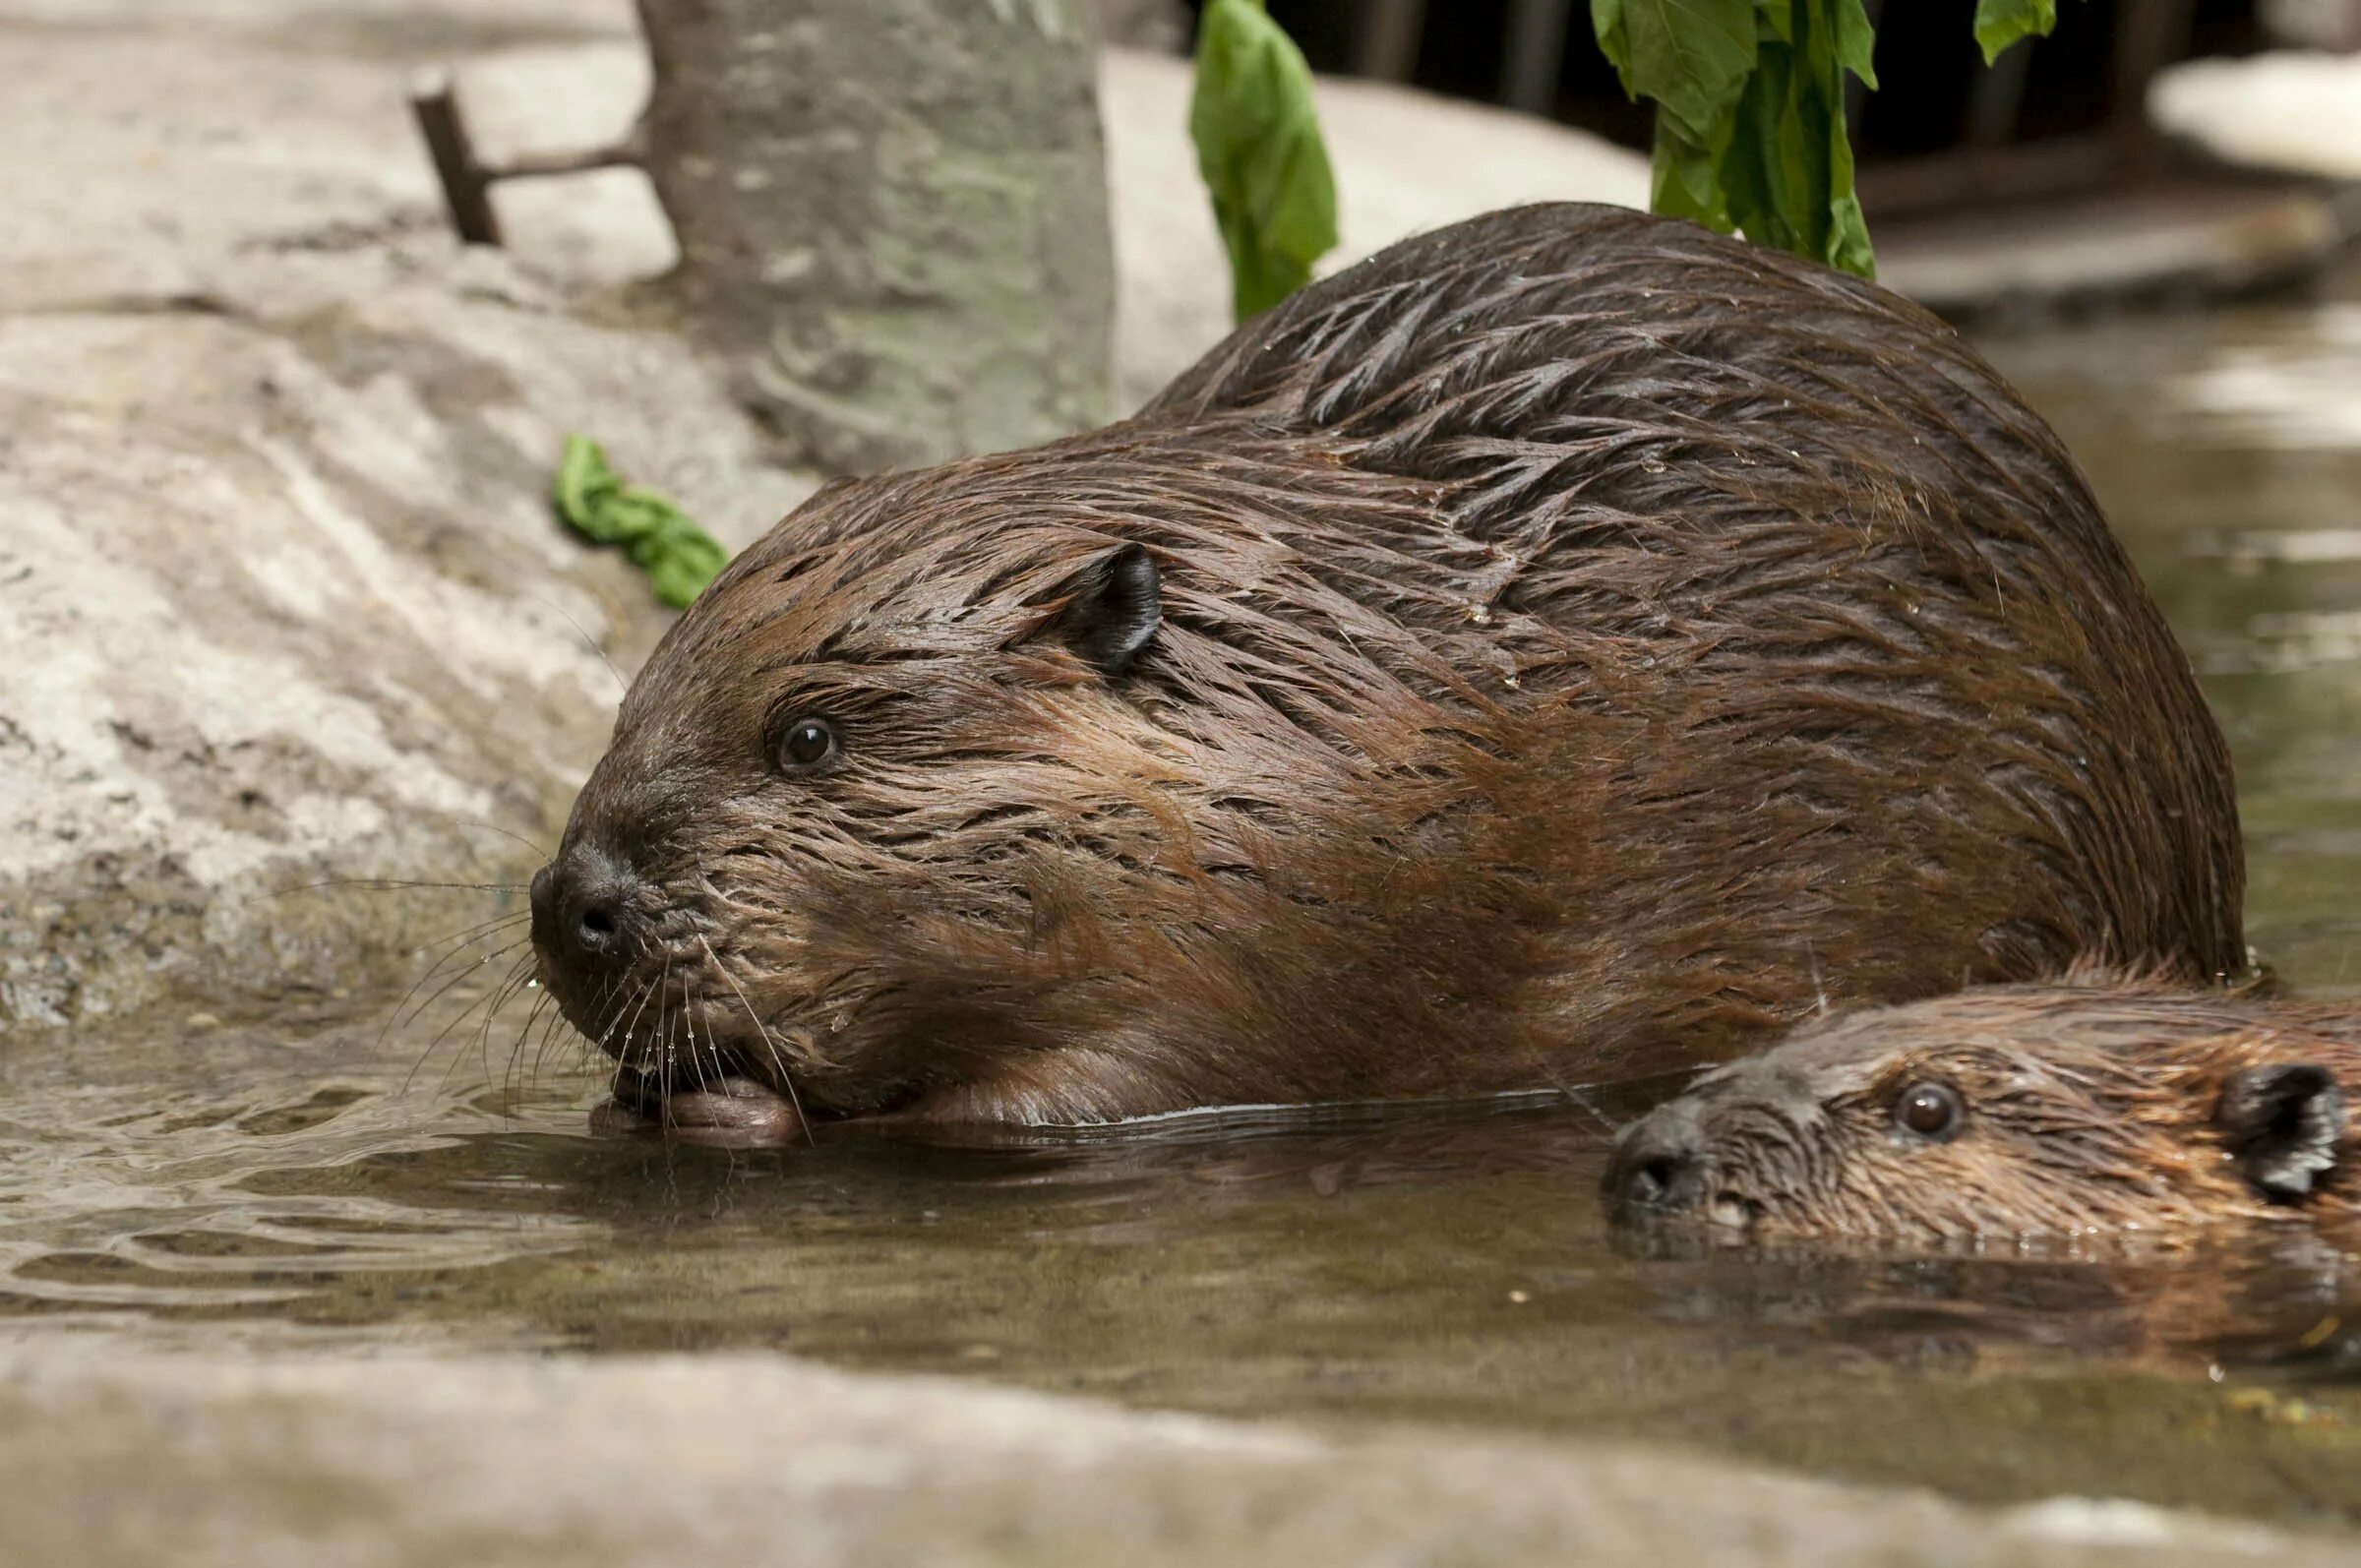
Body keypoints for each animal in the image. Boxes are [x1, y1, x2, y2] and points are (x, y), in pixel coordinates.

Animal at [526, 205, 2238, 1138]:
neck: (1335, 673)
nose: (572, 903)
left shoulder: (1301, 938)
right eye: (628, 699)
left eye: (809, 736)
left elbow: (1058, 1101)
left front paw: (729, 1107)